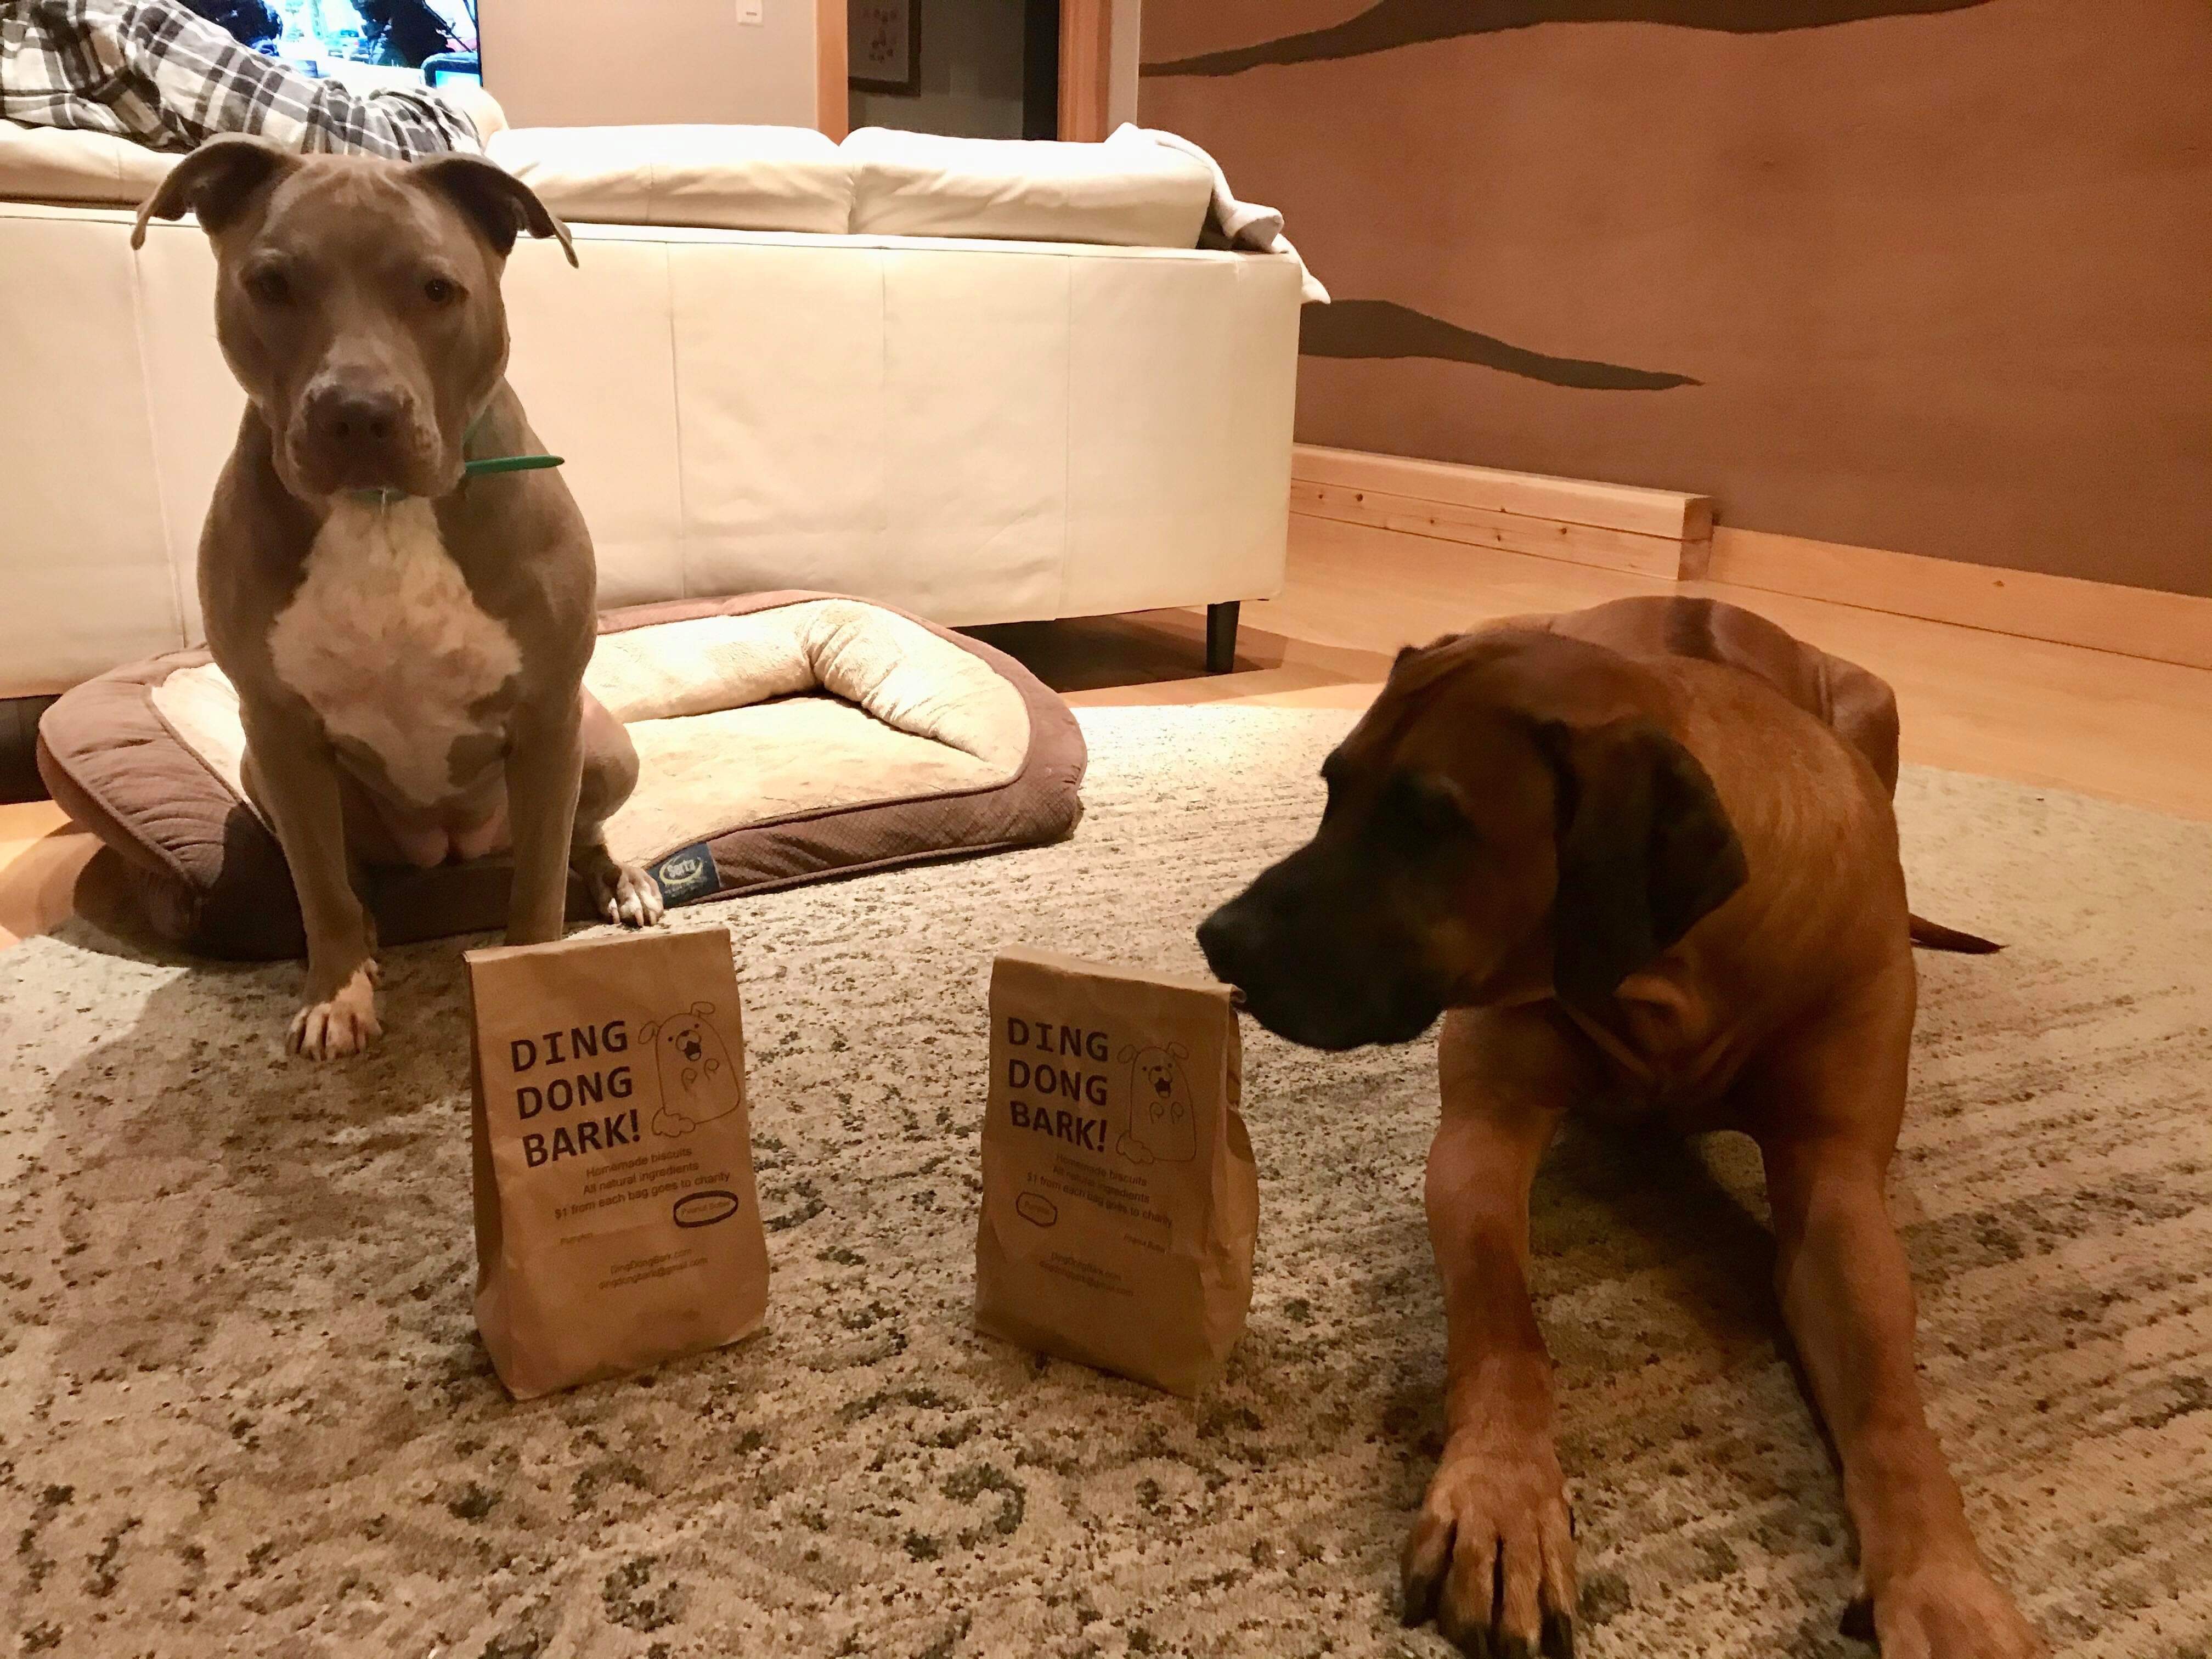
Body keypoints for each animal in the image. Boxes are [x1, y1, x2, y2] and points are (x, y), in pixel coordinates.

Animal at [133, 136, 663, 1060]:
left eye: (438, 288)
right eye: (270, 283)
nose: (357, 412)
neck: (381, 510)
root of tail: (449, 851)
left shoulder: (547, 716)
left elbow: (537, 886)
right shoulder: (277, 725)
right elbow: (319, 885)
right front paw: (338, 991)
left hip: (602, 746)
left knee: (578, 839)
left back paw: (622, 881)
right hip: (262, 769)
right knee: (344, 873)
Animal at [1198, 597, 2043, 1658]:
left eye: (1429, 824)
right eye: (1331, 788)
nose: (1219, 938)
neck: (1670, 976)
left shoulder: (1841, 1182)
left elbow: (1893, 1405)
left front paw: (1944, 1588)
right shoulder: (1482, 1130)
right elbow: (1503, 1327)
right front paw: (1503, 1501)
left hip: (1876, 704)